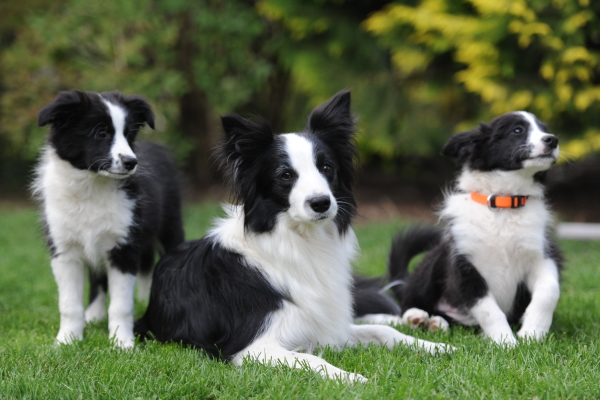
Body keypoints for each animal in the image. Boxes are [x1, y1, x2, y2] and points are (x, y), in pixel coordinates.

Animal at [32, 90, 183, 346]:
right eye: (101, 133)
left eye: (129, 134)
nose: (132, 162)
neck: (91, 187)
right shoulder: (64, 251)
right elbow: (69, 304)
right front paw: (67, 341)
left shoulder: (124, 246)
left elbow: (121, 305)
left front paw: (122, 343)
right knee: (99, 278)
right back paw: (94, 314)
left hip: (170, 226)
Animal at [136, 90, 452, 382]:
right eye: (285, 175)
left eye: (326, 167)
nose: (321, 203)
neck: (301, 240)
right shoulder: (250, 348)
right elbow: (315, 360)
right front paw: (354, 379)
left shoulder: (326, 324)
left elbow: (381, 331)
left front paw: (434, 346)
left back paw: (421, 320)